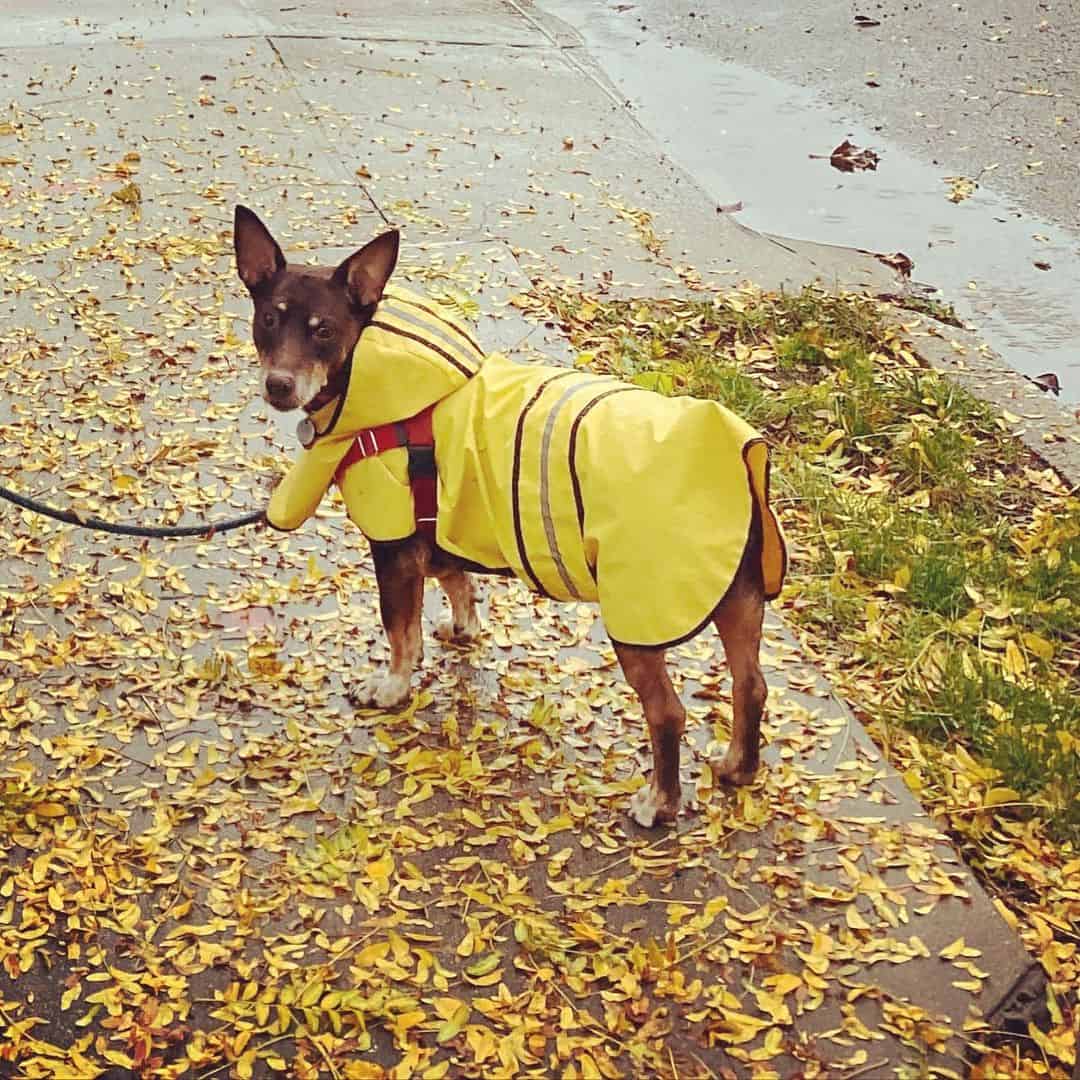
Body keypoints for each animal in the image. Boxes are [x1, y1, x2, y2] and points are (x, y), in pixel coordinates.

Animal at [234, 204, 786, 825]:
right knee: (751, 686)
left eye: (325, 330)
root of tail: (735, 464)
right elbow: (456, 582)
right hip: (739, 600)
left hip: (638, 622)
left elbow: (400, 633)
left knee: (668, 713)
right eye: (268, 320)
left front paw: (392, 688)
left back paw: (658, 803)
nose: (279, 385)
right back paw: (738, 767)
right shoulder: (440, 532)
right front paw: (463, 628)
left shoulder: (394, 547)